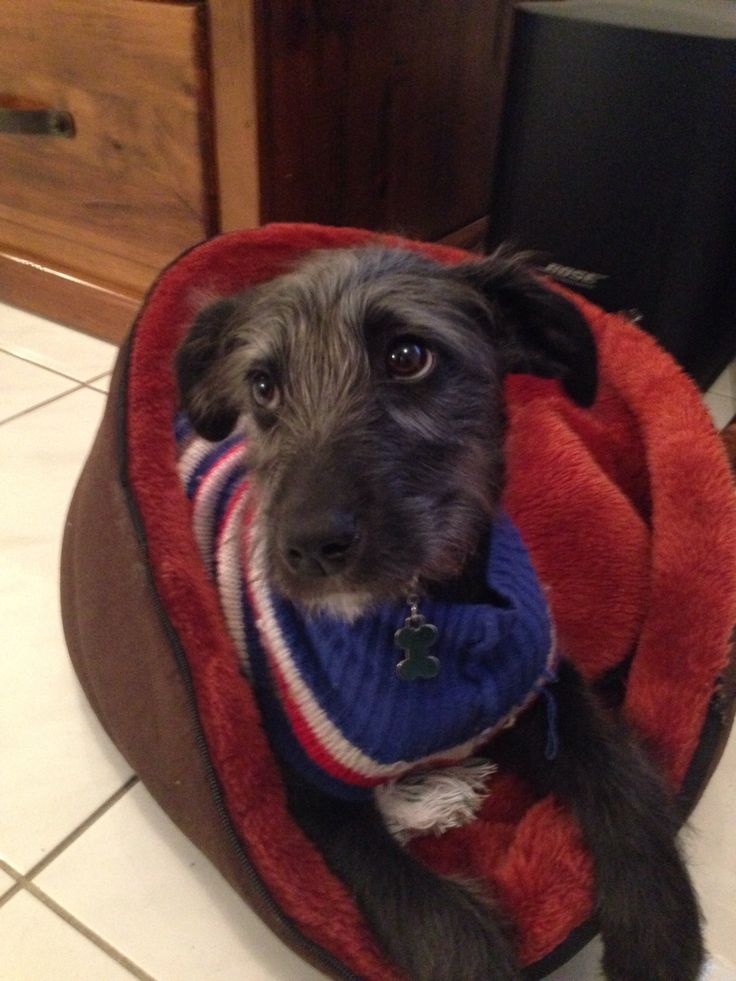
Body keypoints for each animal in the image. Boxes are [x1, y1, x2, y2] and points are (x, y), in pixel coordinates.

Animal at [175, 247, 704, 980]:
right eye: (263, 387)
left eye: (407, 356)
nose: (309, 546)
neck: (423, 609)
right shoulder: (312, 788)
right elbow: (432, 913)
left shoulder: (541, 692)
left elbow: (624, 778)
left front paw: (657, 931)